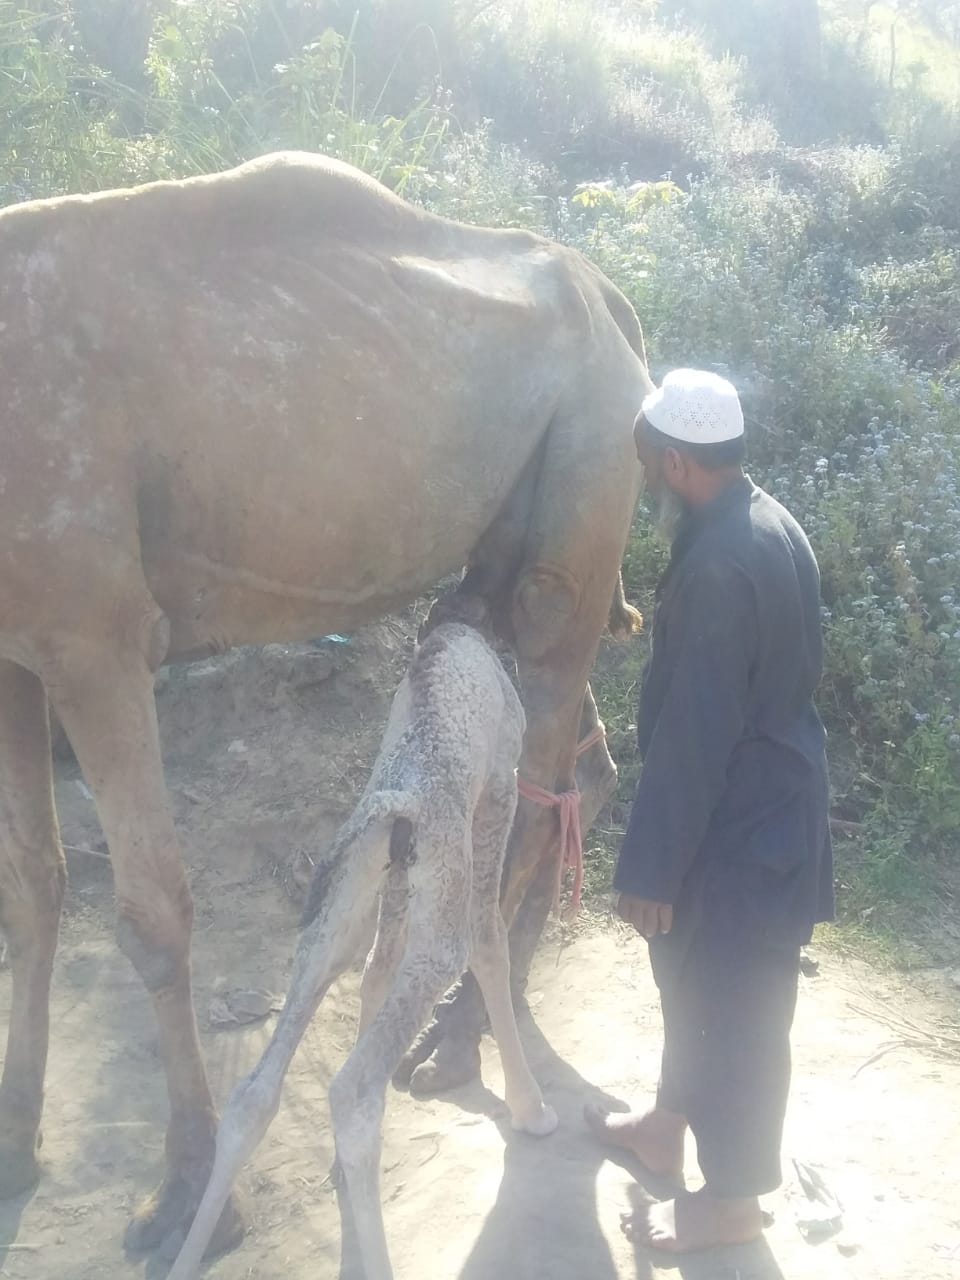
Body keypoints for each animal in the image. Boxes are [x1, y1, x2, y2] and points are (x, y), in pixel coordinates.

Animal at [165, 611, 555, 1280]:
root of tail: (395, 804)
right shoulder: (499, 792)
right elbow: (491, 942)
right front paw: (532, 1111)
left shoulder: (395, 888)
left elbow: (377, 970)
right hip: (436, 920)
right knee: (353, 1089)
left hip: (336, 915)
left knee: (254, 1092)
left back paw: (189, 1255)